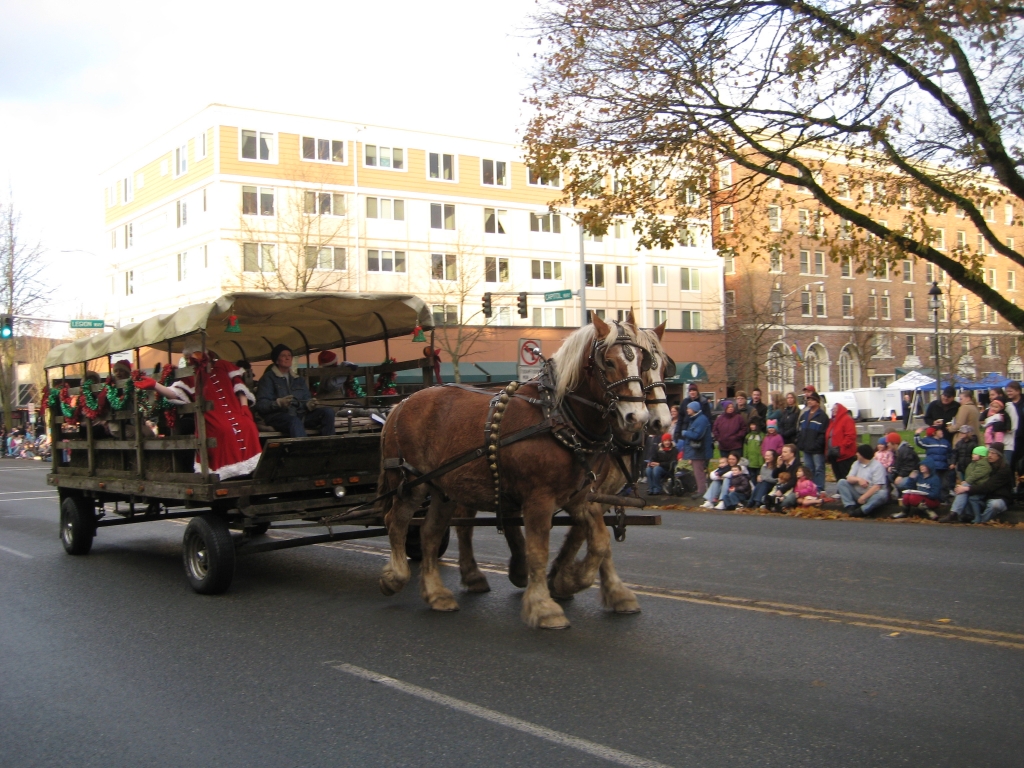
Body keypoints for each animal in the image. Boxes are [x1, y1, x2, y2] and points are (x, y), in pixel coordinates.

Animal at [376, 315, 647, 626]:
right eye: (609, 362)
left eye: (643, 361)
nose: (637, 418)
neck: (557, 417)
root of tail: (400, 404)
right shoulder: (539, 499)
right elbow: (538, 551)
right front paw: (544, 606)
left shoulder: (579, 498)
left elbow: (601, 542)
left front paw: (572, 580)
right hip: (412, 483)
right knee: (396, 521)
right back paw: (395, 577)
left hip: (442, 488)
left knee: (429, 533)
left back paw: (437, 594)